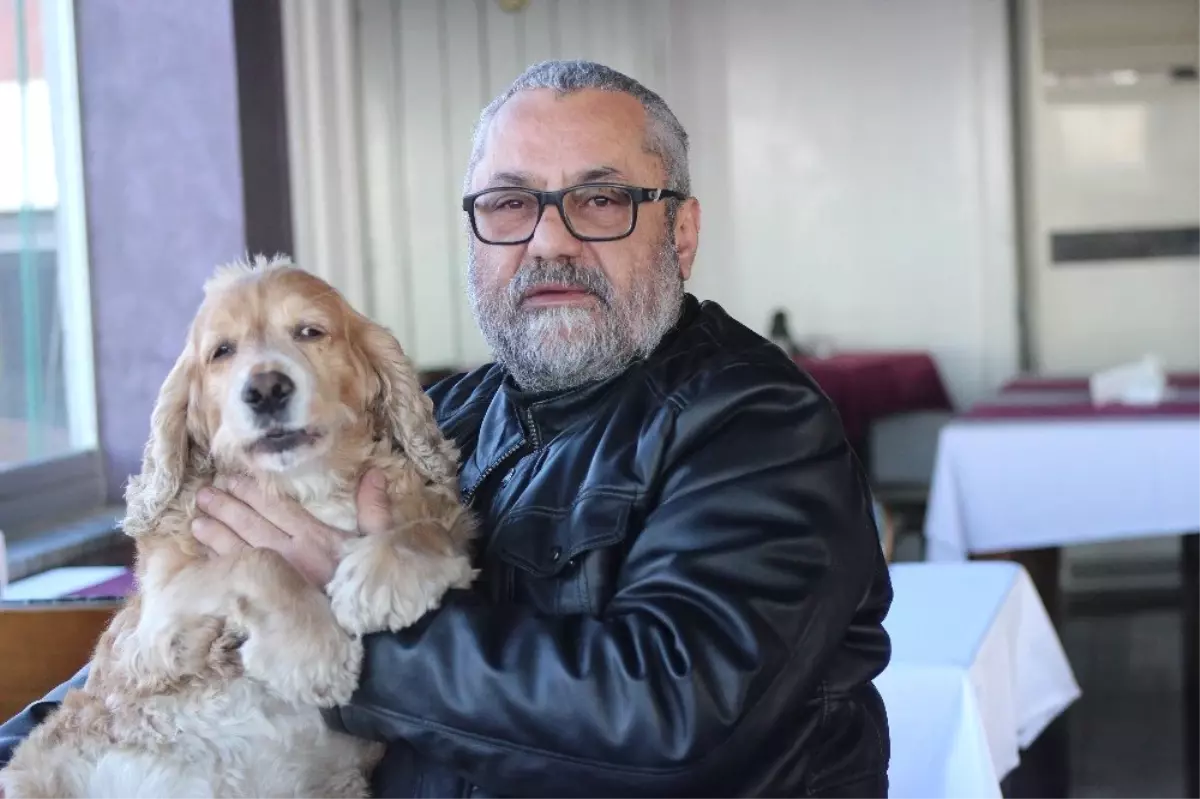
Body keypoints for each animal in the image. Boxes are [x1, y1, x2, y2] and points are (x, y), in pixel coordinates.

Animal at [0, 255, 477, 796]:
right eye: (221, 352)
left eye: (311, 331)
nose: (266, 389)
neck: (304, 484)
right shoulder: (155, 626)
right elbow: (259, 559)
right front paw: (310, 649)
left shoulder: (449, 524)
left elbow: (428, 532)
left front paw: (381, 578)